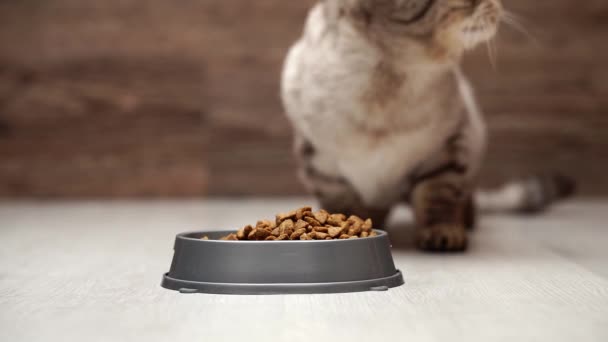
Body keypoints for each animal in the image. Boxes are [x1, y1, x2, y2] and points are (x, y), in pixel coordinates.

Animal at [282, 0, 576, 251]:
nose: (498, 3)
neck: (385, 85)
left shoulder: (446, 149)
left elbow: (437, 198)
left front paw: (443, 233)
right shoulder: (322, 167)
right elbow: (343, 205)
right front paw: (352, 227)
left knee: (466, 203)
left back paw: (464, 221)